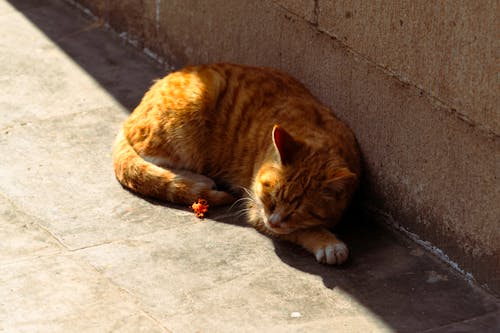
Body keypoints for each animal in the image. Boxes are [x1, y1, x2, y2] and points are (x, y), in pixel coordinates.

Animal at [113, 63, 360, 264]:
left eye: (297, 212)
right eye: (270, 199)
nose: (274, 221)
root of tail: (131, 116)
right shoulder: (256, 208)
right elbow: (303, 231)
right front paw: (327, 242)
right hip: (185, 124)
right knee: (151, 160)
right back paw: (196, 179)